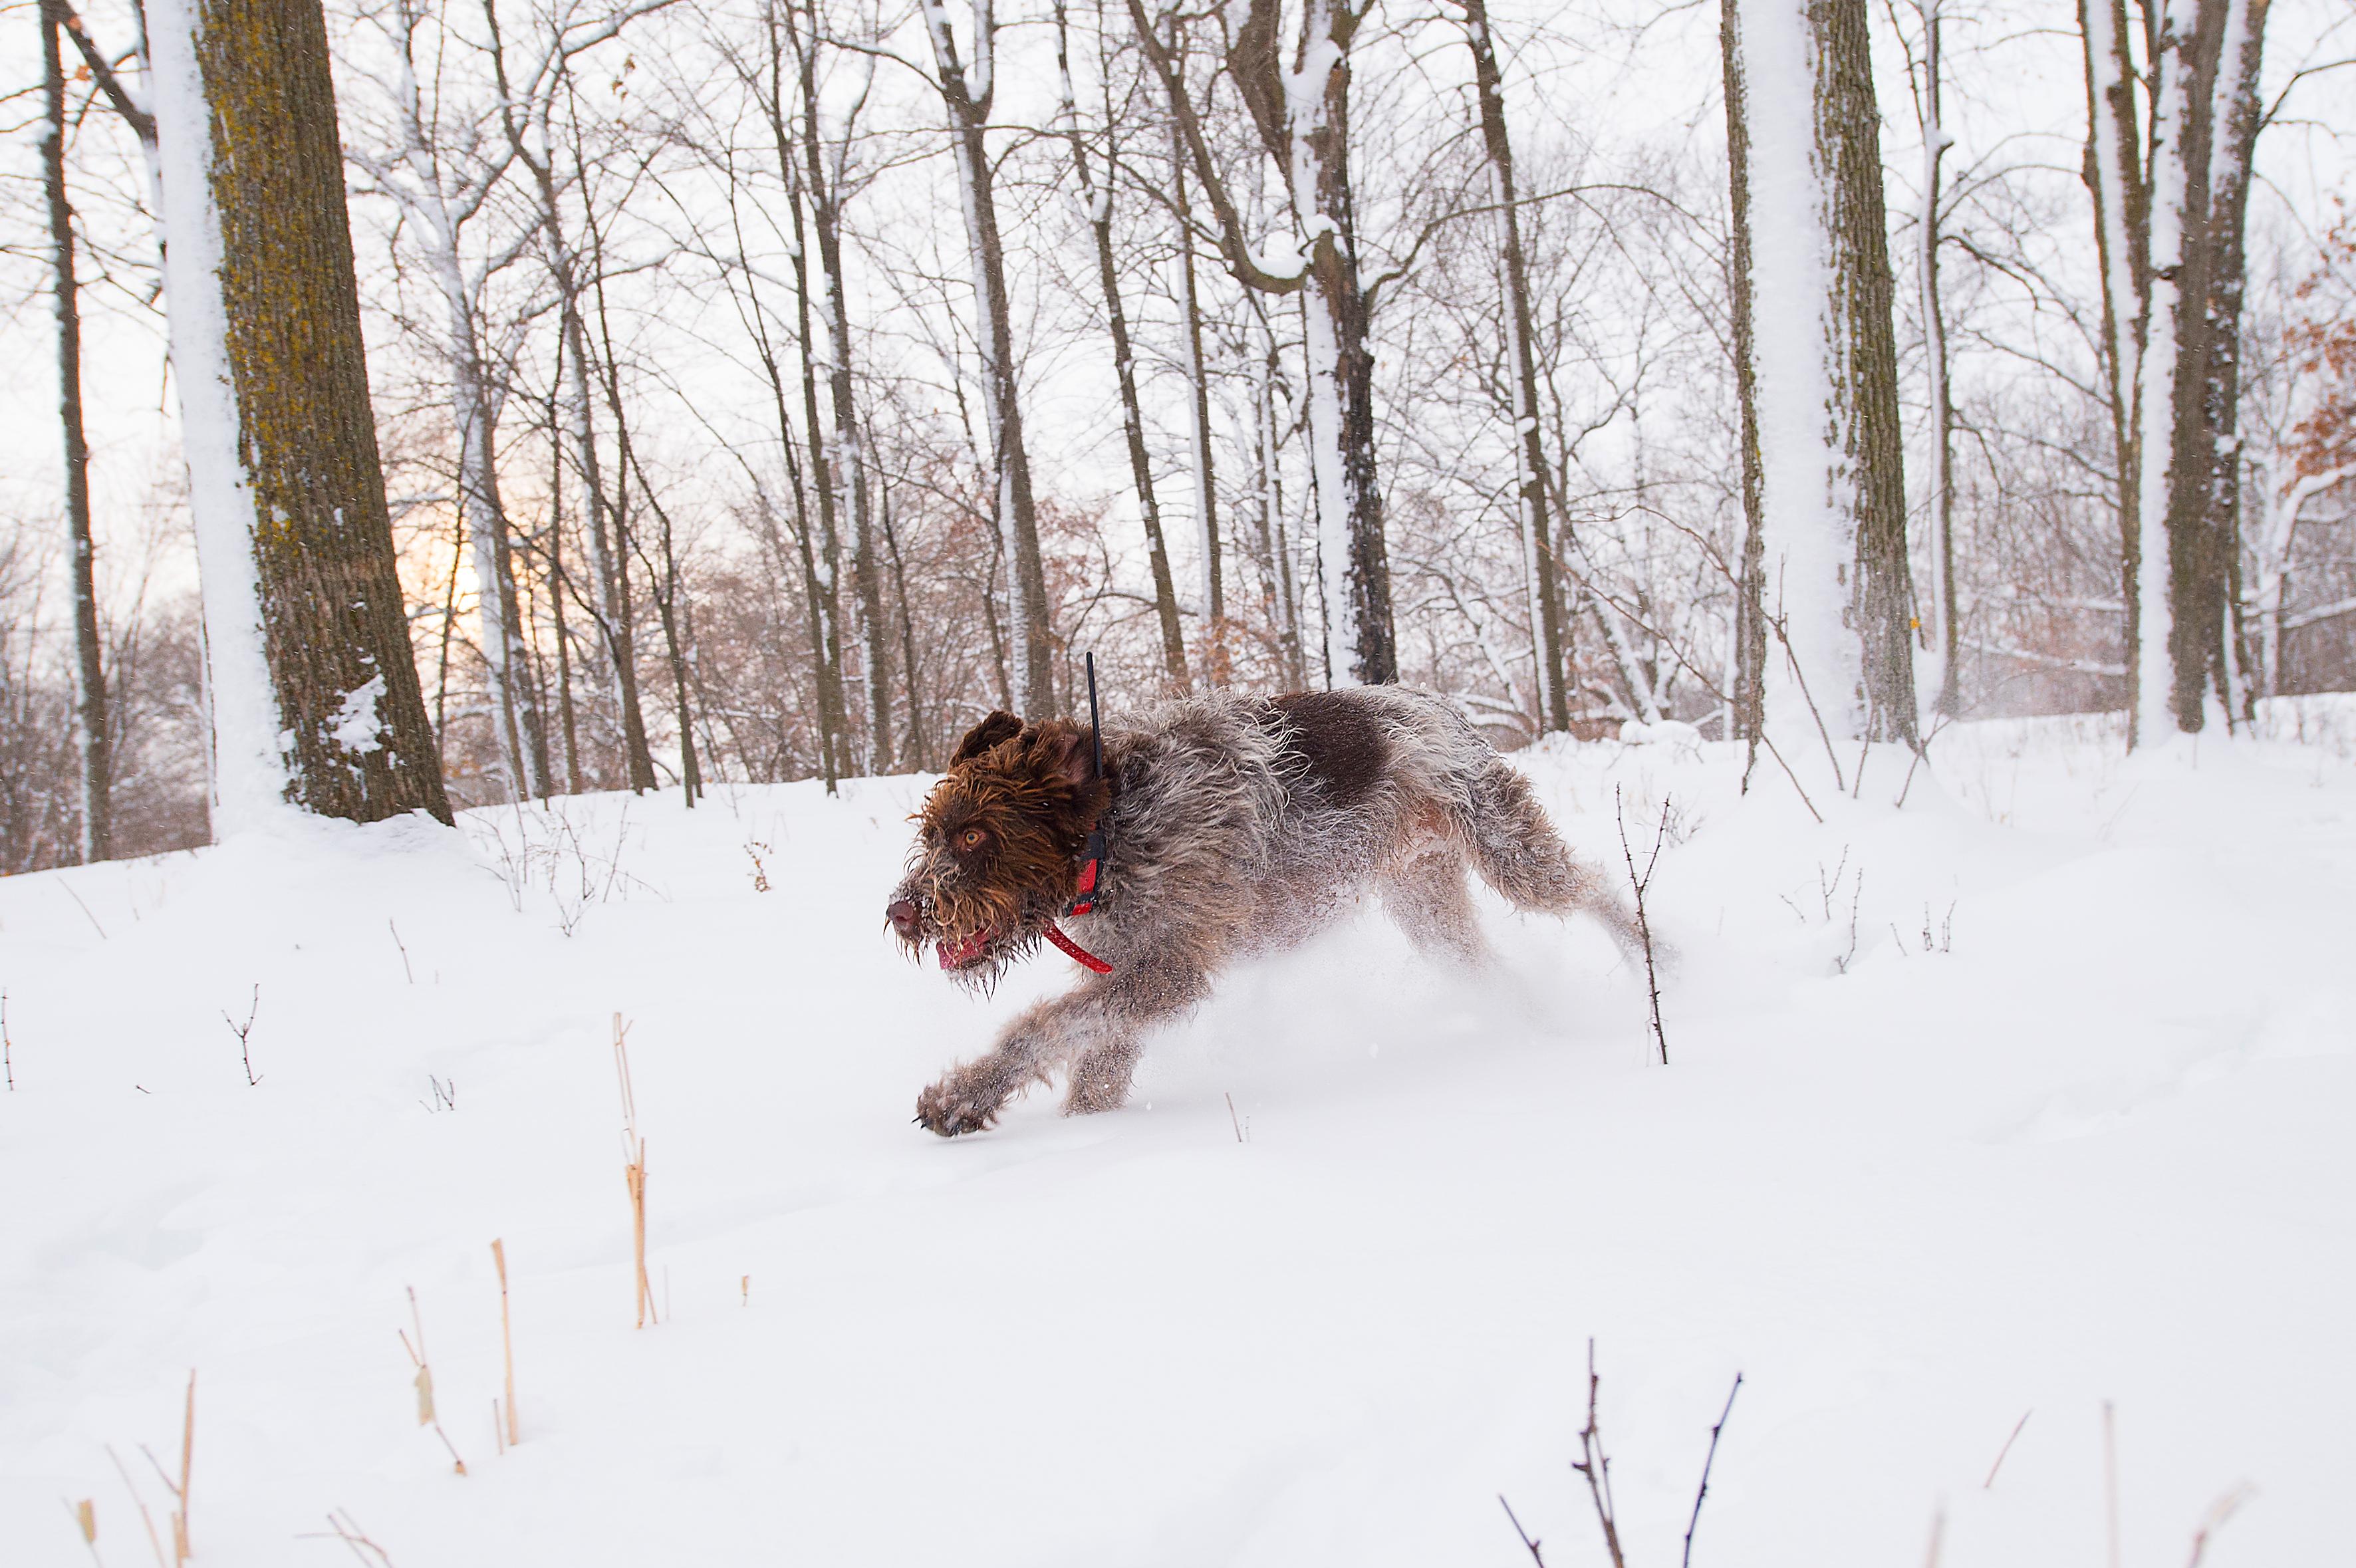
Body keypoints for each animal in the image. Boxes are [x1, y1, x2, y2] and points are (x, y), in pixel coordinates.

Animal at [886, 682, 1639, 1134]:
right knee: (1493, 969)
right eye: (930, 835)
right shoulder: (1126, 970)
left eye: (973, 835)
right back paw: (1541, 1029)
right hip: (1429, 907)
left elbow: (1040, 1029)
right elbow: (1094, 1063)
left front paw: (961, 1097)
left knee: (1599, 888)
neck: (1116, 830)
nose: (902, 912)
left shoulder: (1166, 971)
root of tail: (1435, 702)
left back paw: (1657, 961)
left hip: (1510, 852)